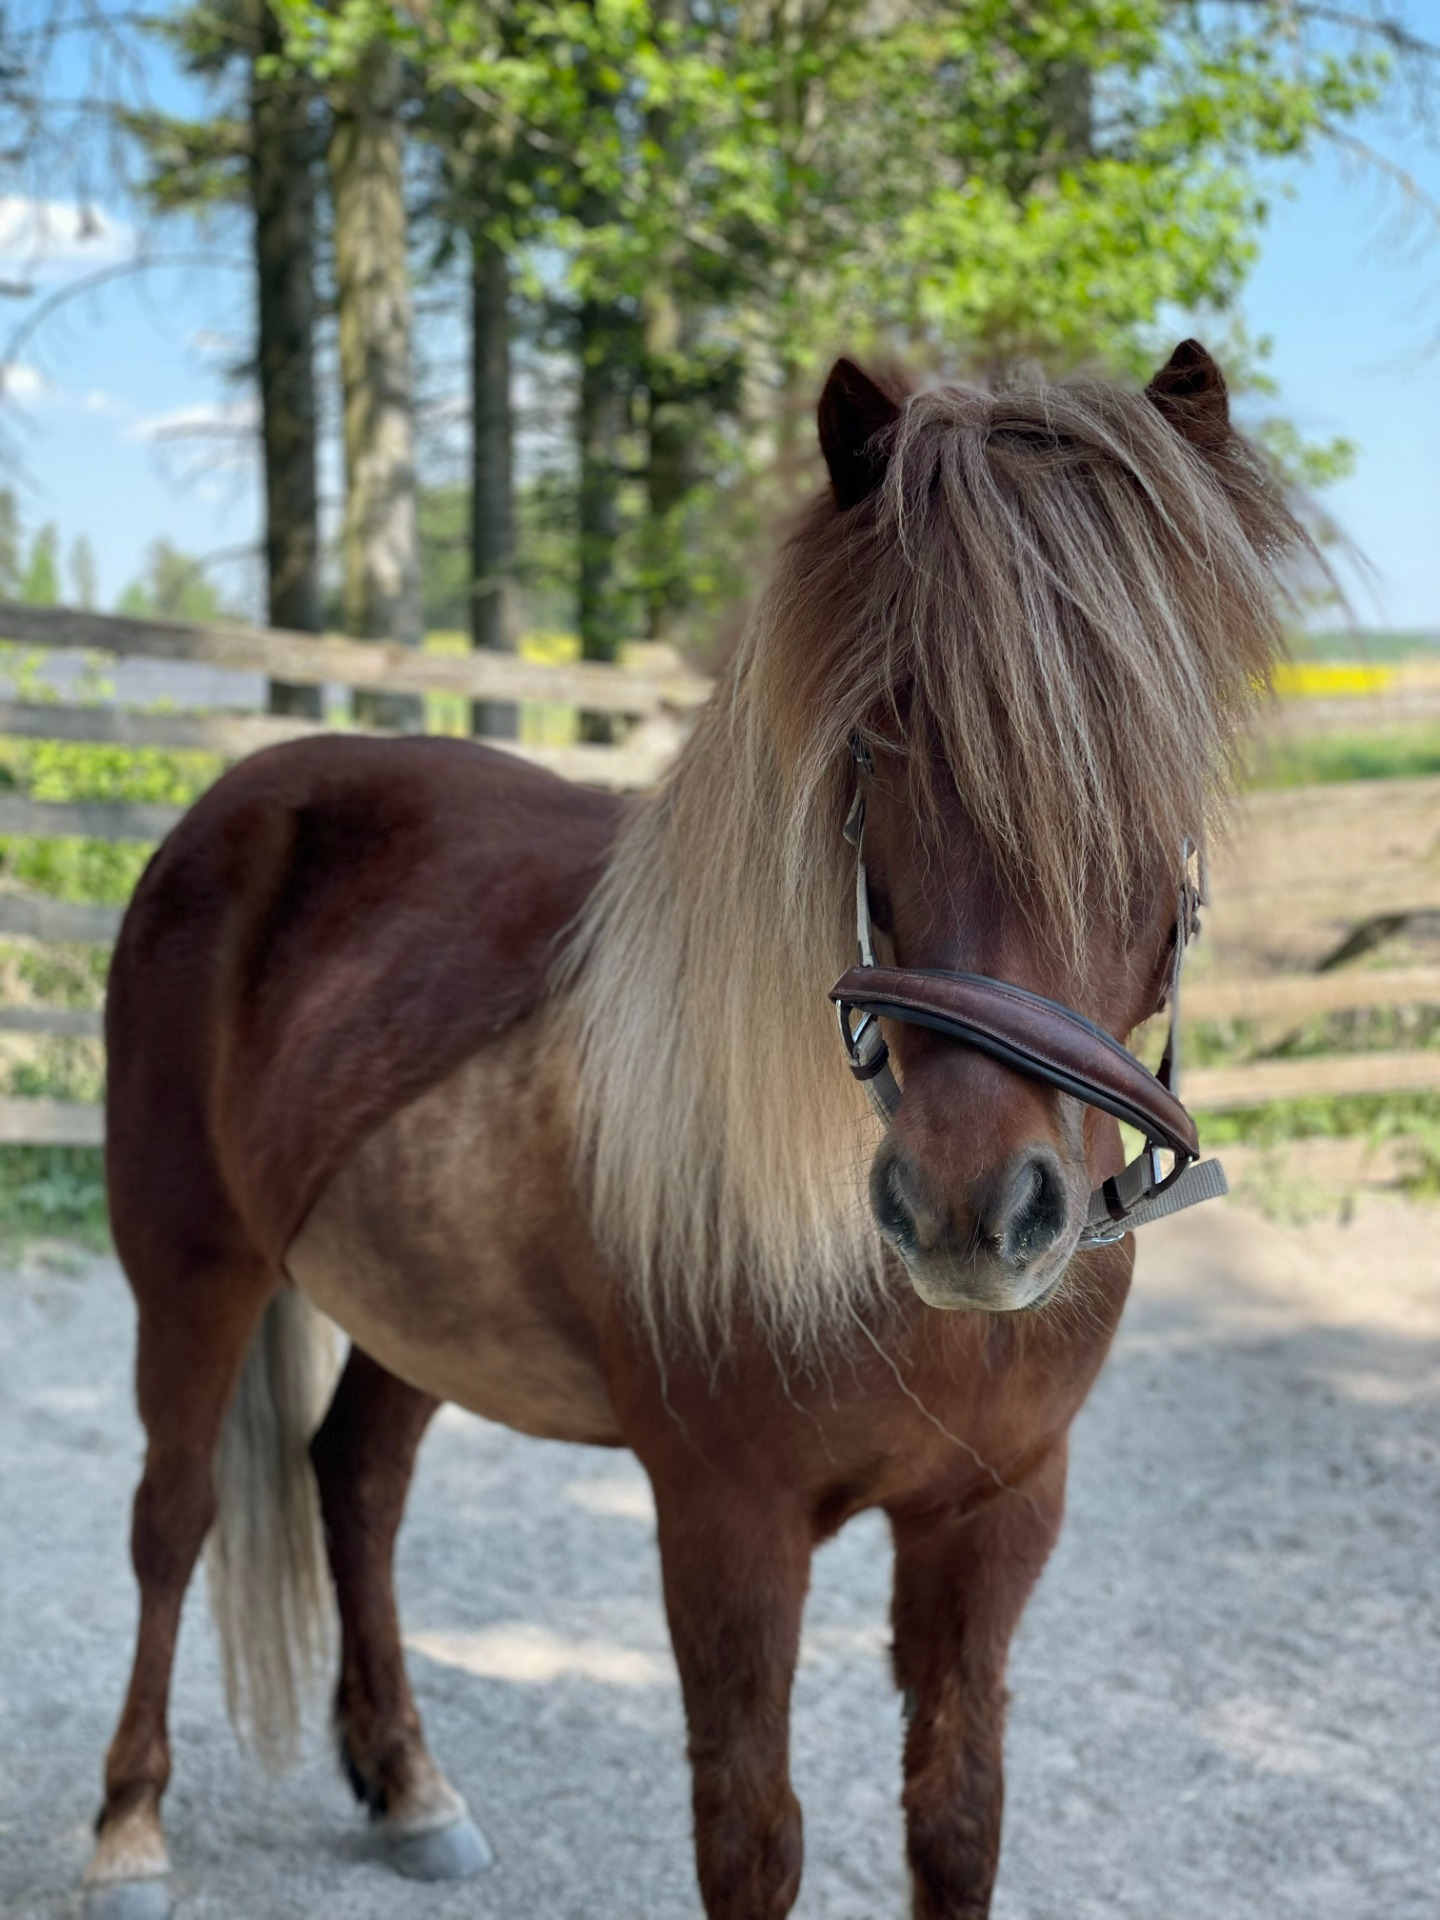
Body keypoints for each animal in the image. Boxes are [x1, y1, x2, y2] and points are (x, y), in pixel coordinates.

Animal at [82, 341, 1301, 1920]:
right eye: (880, 737)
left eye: (1160, 753)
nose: (974, 1209)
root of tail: (236, 800)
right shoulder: (727, 1527)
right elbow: (751, 1838)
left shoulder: (996, 1518)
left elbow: (957, 1817)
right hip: (193, 1268)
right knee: (172, 1517)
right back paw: (128, 1828)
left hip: (412, 1301)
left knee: (355, 1480)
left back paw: (409, 1786)